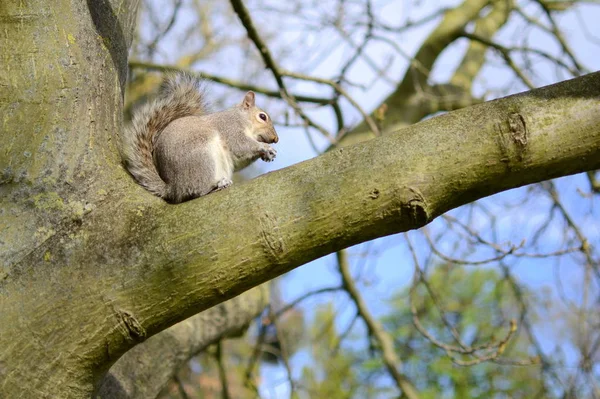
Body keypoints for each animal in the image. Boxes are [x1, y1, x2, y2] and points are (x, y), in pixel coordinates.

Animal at [123, 72, 282, 203]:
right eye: (262, 117)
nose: (275, 139)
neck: (242, 119)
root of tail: (173, 187)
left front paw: (267, 155)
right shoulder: (229, 128)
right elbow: (240, 145)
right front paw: (265, 148)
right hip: (202, 158)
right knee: (198, 191)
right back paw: (216, 185)